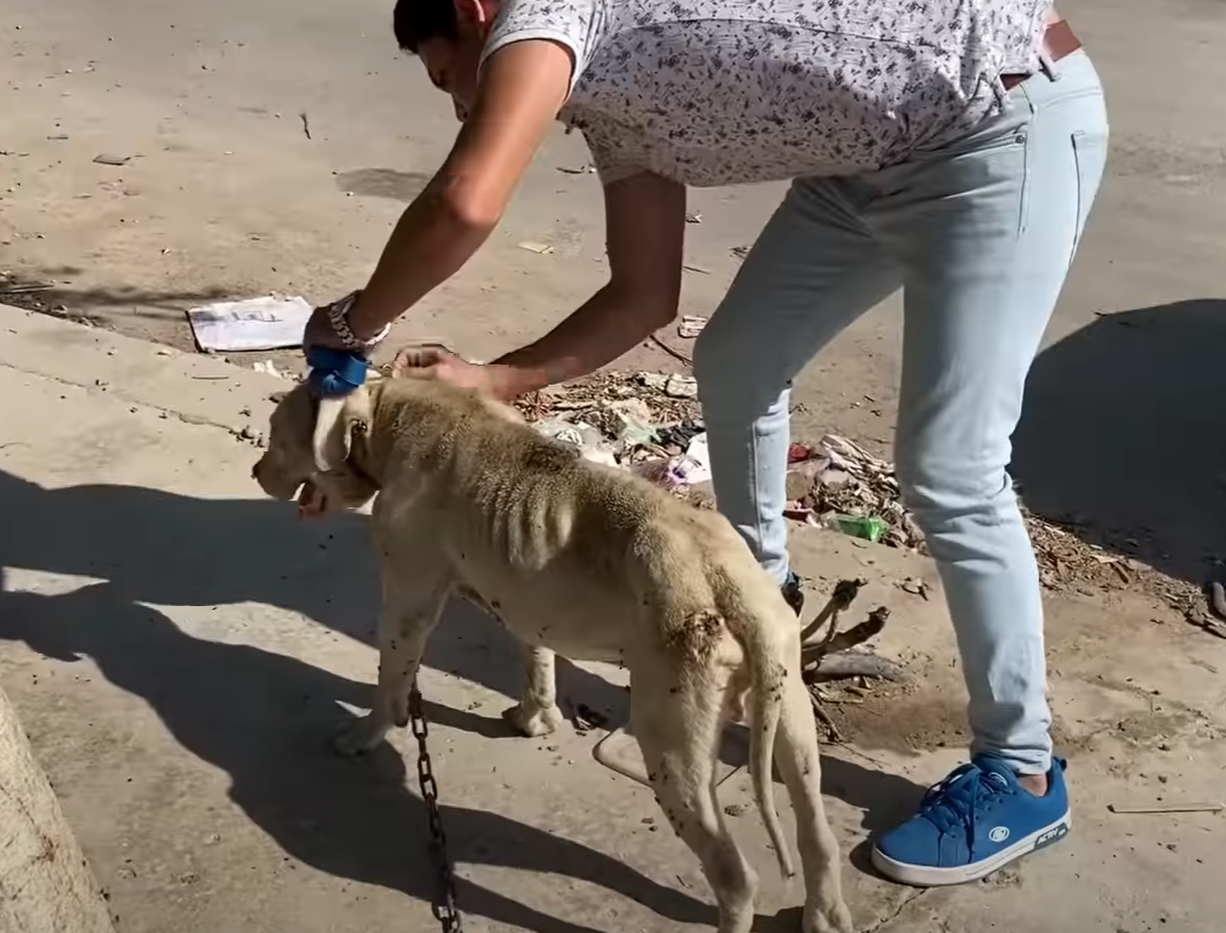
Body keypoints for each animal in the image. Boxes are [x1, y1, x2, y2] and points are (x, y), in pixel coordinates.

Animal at [248, 372, 853, 931]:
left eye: (278, 436)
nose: (255, 473)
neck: (386, 413)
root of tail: (729, 584)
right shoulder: (525, 597)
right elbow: (535, 657)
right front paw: (535, 718)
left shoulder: (408, 602)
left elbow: (392, 676)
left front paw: (366, 733)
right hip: (792, 713)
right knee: (816, 832)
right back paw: (825, 911)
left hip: (672, 747)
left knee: (734, 875)